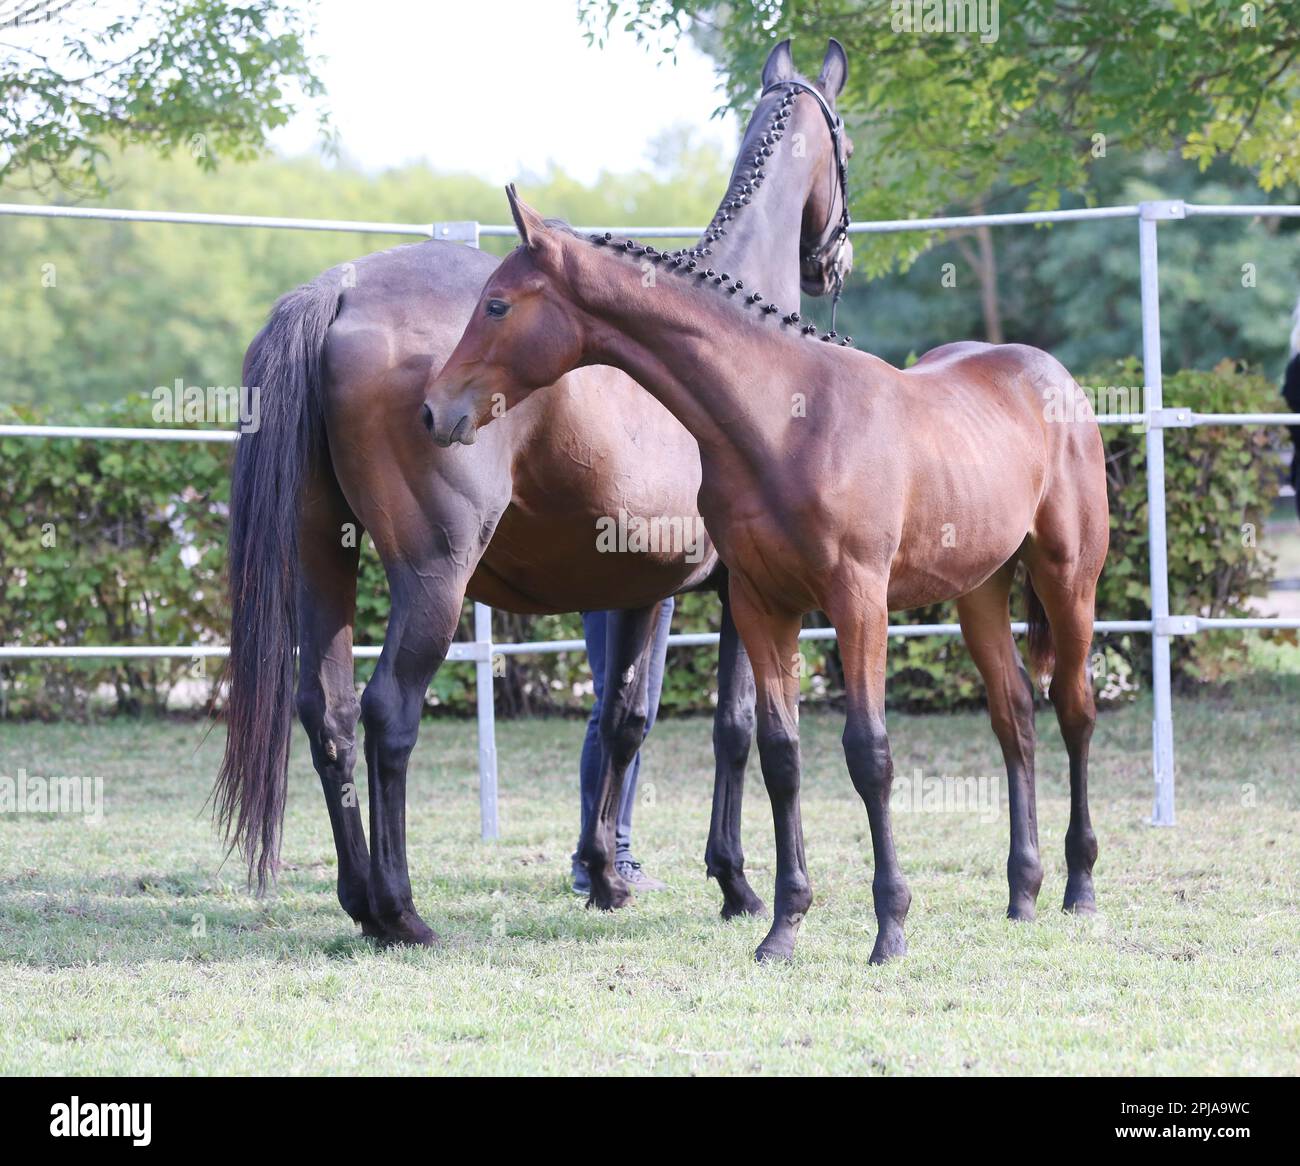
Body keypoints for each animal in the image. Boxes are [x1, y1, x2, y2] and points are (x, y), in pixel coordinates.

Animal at [214, 39, 856, 942]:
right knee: (387, 713)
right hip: (433, 578)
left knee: (329, 713)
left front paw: (606, 876)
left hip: (321, 558)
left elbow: (624, 721)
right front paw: (736, 883)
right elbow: (733, 728)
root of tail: (336, 289)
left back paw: (361, 902)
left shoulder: (642, 589)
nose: (835, 260)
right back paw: (402, 910)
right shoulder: (742, 589)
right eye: (848, 142)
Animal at [422, 189, 1109, 965]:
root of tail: (1052, 376)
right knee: (1013, 715)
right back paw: (1022, 892)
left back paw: (1079, 887)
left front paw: (890, 928)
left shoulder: (857, 601)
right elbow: (779, 755)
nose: (434, 409)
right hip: (981, 591)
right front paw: (783, 924)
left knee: (1074, 708)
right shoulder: (761, 602)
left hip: (1068, 578)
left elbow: (868, 752)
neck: (787, 420)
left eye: (498, 304)